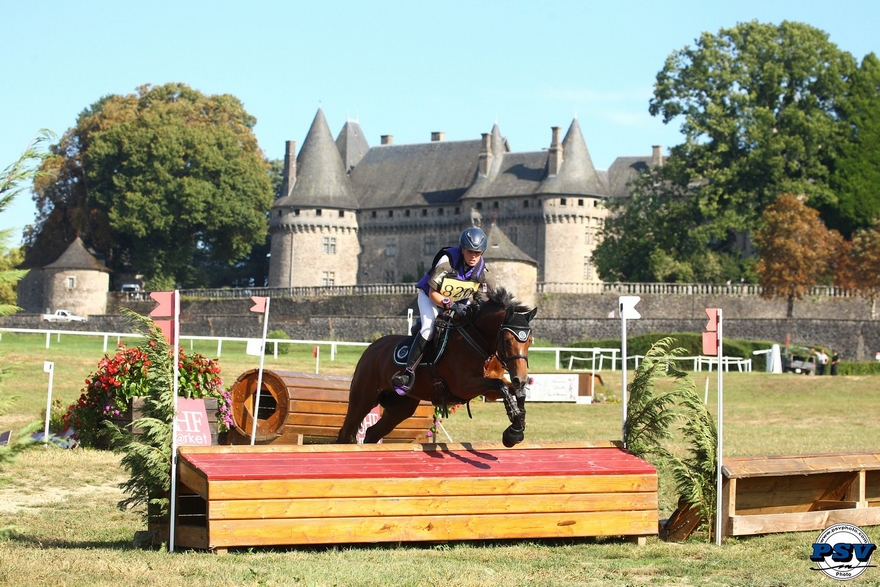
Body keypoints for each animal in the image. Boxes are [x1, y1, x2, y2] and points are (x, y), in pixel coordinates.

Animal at [336, 288, 536, 448]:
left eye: (530, 341)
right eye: (507, 340)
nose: (521, 378)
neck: (478, 341)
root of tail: (372, 348)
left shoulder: (488, 389)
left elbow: (513, 391)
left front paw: (516, 428)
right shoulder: (464, 386)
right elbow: (501, 386)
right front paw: (514, 427)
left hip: (400, 407)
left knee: (372, 432)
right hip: (364, 398)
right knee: (346, 432)